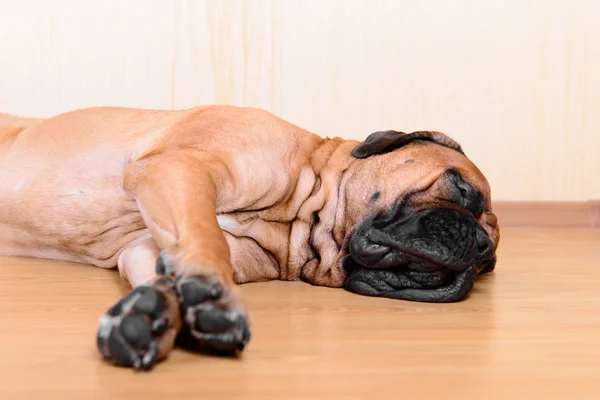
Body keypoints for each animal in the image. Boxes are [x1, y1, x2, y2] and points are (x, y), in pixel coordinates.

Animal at [0, 106, 496, 368]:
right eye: (462, 189)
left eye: (488, 263)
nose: (479, 245)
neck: (298, 215)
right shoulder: (181, 168)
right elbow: (208, 239)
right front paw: (213, 296)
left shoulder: (147, 245)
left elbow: (167, 271)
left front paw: (150, 313)